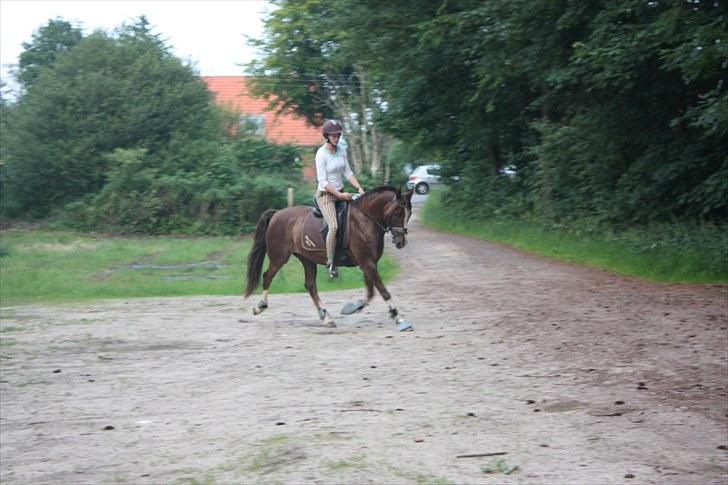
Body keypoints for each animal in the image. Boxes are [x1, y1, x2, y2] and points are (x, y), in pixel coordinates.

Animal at [245, 184, 412, 328]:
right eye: (397, 213)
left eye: (409, 215)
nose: (400, 242)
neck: (365, 220)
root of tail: (277, 213)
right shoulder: (366, 262)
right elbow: (382, 290)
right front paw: (398, 317)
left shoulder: (369, 263)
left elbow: (371, 292)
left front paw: (352, 307)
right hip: (279, 257)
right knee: (267, 276)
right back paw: (260, 307)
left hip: (307, 259)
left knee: (310, 285)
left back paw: (326, 318)